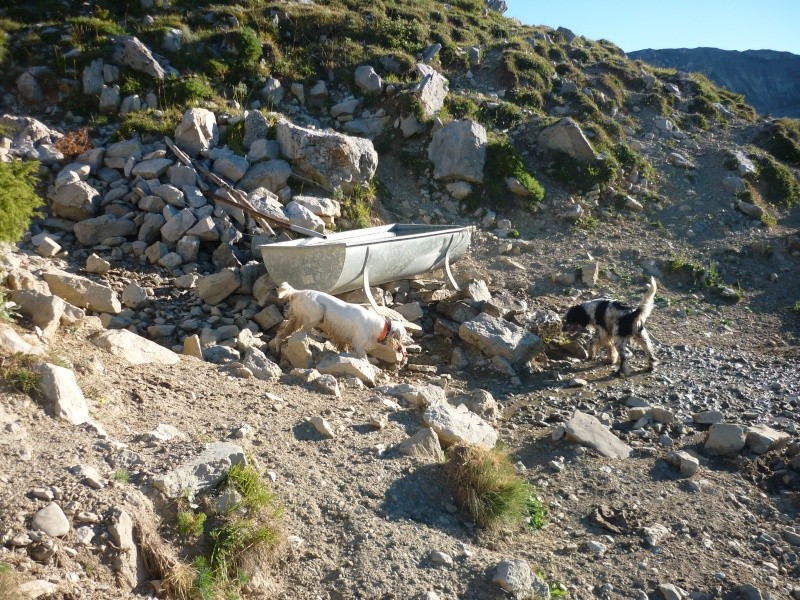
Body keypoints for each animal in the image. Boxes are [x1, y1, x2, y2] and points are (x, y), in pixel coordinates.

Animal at [274, 282, 416, 358]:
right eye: (404, 335)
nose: (413, 341)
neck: (379, 328)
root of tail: (297, 292)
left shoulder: (344, 340)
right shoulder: (359, 345)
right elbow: (364, 358)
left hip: (296, 320)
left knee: (282, 334)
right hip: (318, 312)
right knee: (307, 330)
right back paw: (319, 336)